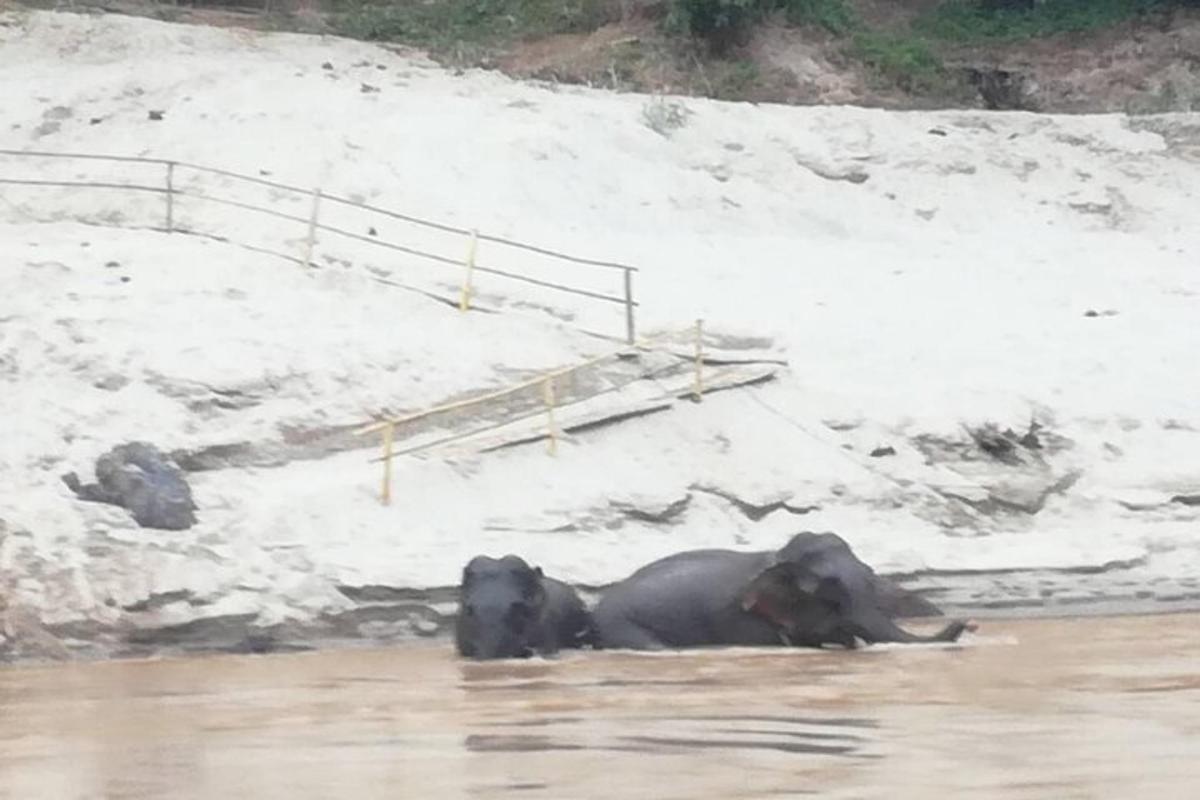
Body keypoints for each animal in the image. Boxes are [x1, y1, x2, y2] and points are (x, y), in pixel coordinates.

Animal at [592, 532, 974, 652]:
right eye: (832, 597)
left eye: (870, 575)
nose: (970, 623)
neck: (776, 556)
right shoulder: (744, 620)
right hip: (624, 629)